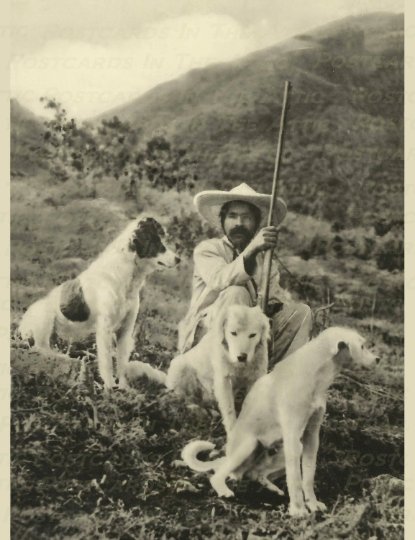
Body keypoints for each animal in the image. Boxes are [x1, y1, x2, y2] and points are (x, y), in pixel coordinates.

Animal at [18, 217, 180, 390]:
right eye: (158, 242)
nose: (178, 259)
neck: (124, 276)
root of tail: (22, 324)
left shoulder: (125, 330)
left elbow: (122, 363)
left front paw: (124, 388)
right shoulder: (105, 329)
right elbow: (107, 361)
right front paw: (109, 386)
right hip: (45, 318)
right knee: (42, 348)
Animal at [182, 326, 380, 516]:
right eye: (362, 346)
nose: (378, 359)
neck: (314, 375)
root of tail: (227, 456)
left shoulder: (311, 437)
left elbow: (308, 476)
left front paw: (313, 504)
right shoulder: (292, 436)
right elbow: (295, 480)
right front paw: (298, 510)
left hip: (284, 451)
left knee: (255, 474)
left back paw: (272, 488)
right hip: (249, 446)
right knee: (219, 475)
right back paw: (224, 490)